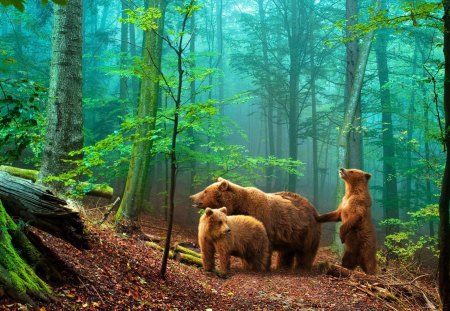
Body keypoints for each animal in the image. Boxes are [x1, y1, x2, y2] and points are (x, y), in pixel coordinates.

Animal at [190, 178, 320, 270]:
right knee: (286, 252)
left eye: (205, 191)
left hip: (307, 233)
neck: (239, 205)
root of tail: (315, 210)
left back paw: (302, 267)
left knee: (306, 253)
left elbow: (263, 247)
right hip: (292, 236)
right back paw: (283, 266)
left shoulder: (262, 219)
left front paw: (259, 266)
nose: (191, 197)